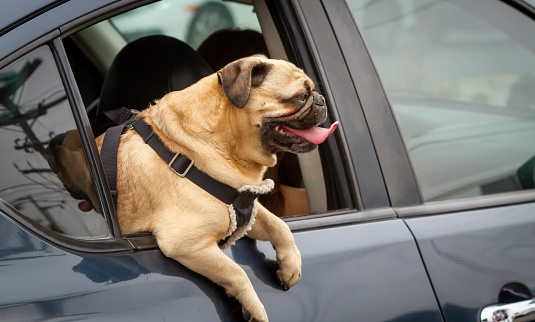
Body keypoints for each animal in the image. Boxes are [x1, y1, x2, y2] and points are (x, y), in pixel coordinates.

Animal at [47, 56, 340, 322]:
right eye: (300, 97)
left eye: (311, 93)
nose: (321, 100)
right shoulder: (188, 244)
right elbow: (236, 272)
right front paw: (254, 309)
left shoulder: (243, 210)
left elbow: (279, 226)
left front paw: (291, 265)